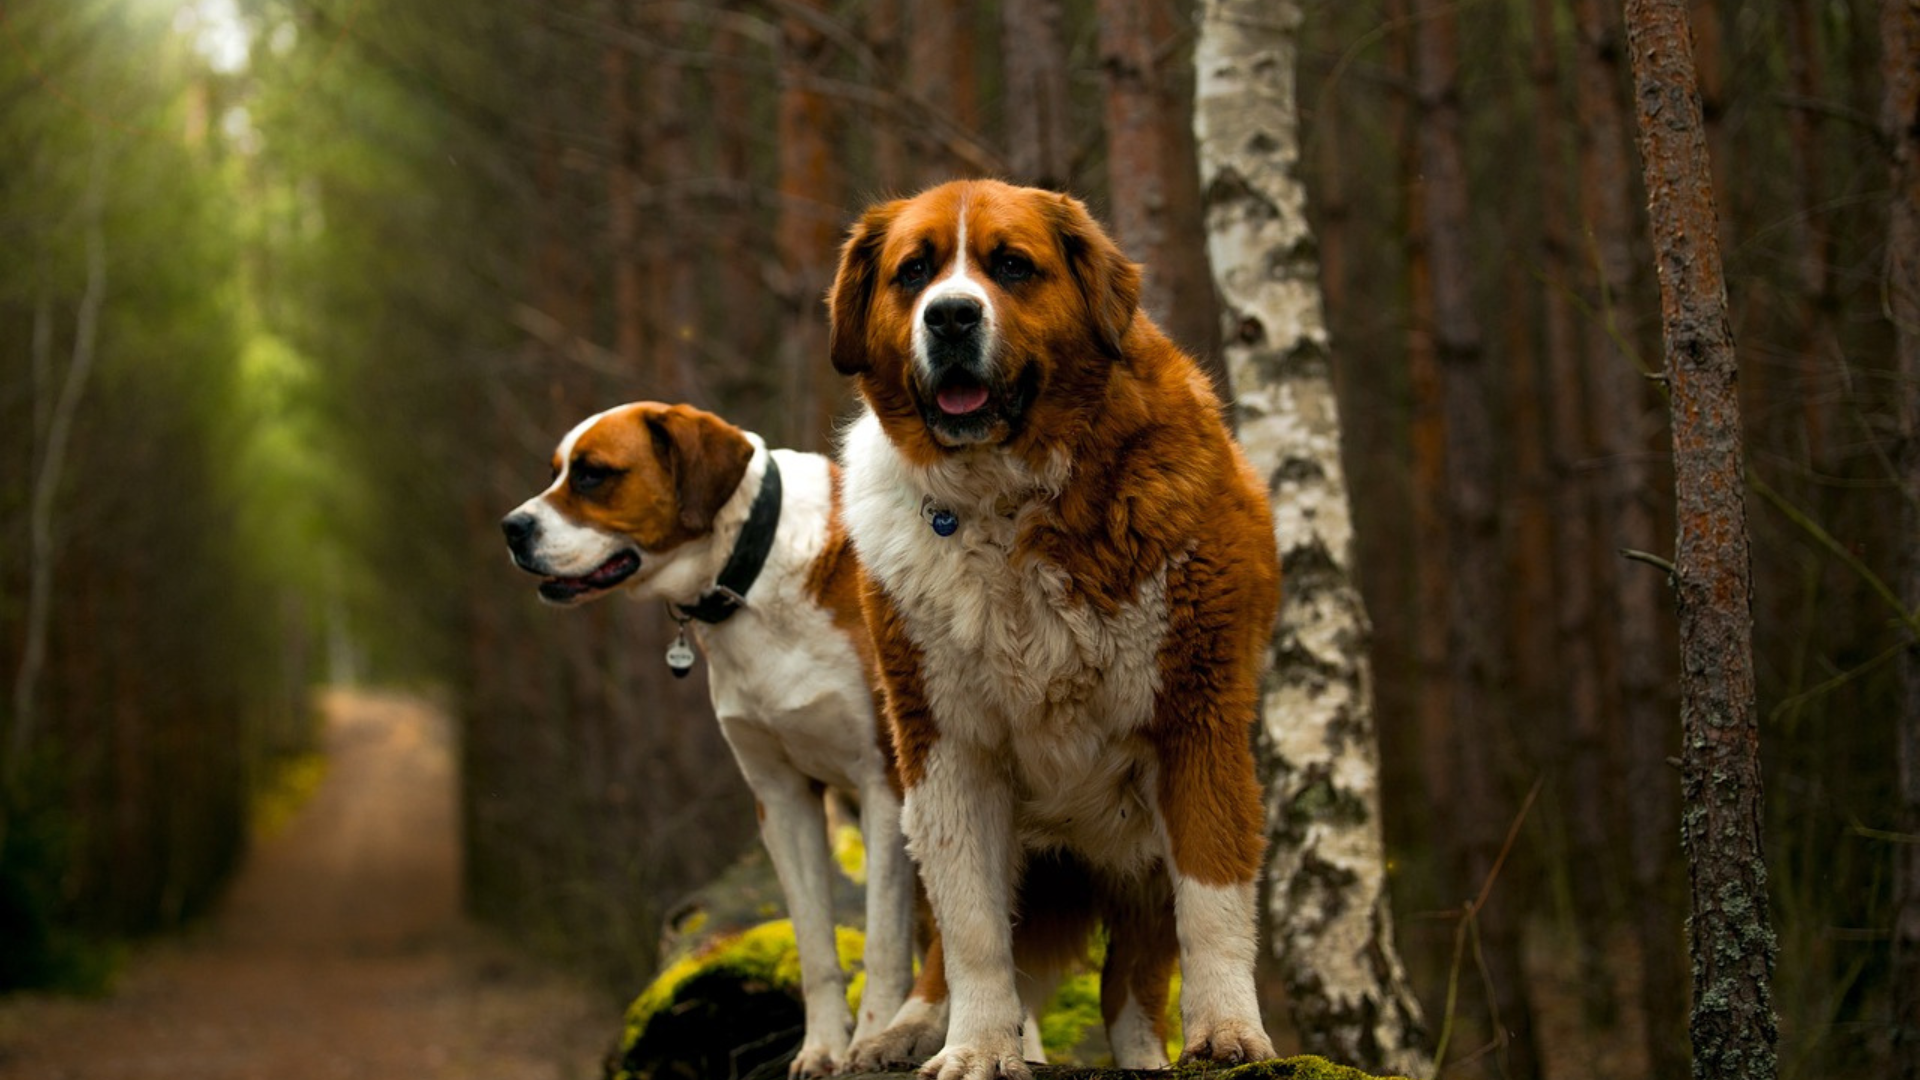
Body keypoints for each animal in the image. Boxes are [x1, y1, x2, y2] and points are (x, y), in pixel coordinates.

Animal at [499, 403, 925, 1076]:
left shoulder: (882, 785)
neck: (752, 578)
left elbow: (884, 941)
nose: (510, 528)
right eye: (556, 472)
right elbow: (813, 944)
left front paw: (868, 1041)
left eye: (593, 474)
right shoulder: (782, 799)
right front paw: (822, 1048)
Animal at [833, 178, 1282, 1076]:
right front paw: (975, 1047)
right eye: (913, 273)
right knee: (953, 950)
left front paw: (1228, 1031)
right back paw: (903, 1031)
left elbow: (1212, 899)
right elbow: (973, 928)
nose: (951, 316)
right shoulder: (946, 745)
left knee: (1131, 991)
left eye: (1011, 265)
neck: (1007, 501)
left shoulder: (1198, 717)